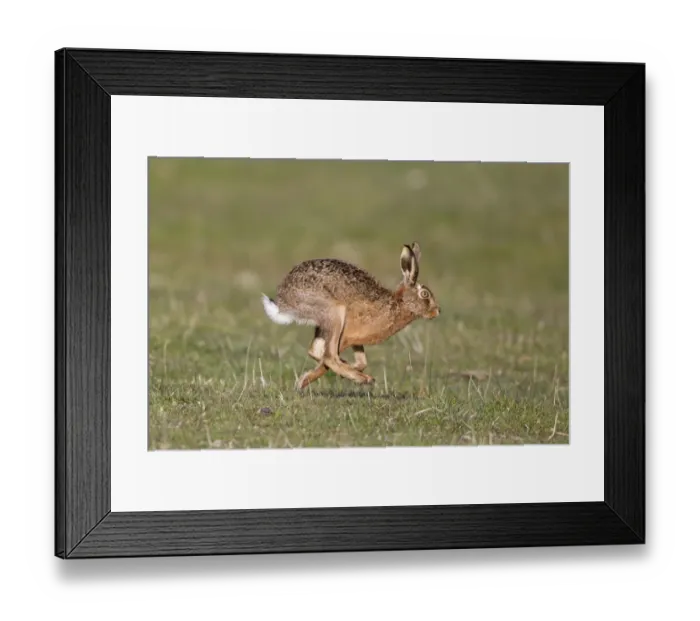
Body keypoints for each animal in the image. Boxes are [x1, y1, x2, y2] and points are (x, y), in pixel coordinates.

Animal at [262, 242, 440, 391]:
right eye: (425, 294)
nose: (437, 311)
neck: (398, 303)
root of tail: (284, 301)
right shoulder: (346, 337)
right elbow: (328, 358)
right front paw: (305, 379)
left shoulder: (356, 339)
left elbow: (361, 362)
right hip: (335, 313)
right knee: (329, 356)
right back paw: (364, 379)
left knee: (316, 350)